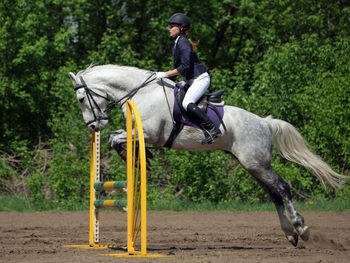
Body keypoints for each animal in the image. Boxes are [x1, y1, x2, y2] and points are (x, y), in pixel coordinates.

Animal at [67, 63, 344, 248]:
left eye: (81, 98)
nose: (94, 125)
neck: (140, 93)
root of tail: (265, 122)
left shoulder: (149, 134)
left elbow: (116, 138)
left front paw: (139, 159)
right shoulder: (137, 133)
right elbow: (114, 137)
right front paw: (138, 159)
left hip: (257, 163)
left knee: (283, 188)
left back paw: (301, 227)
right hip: (252, 165)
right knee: (275, 194)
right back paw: (290, 234)